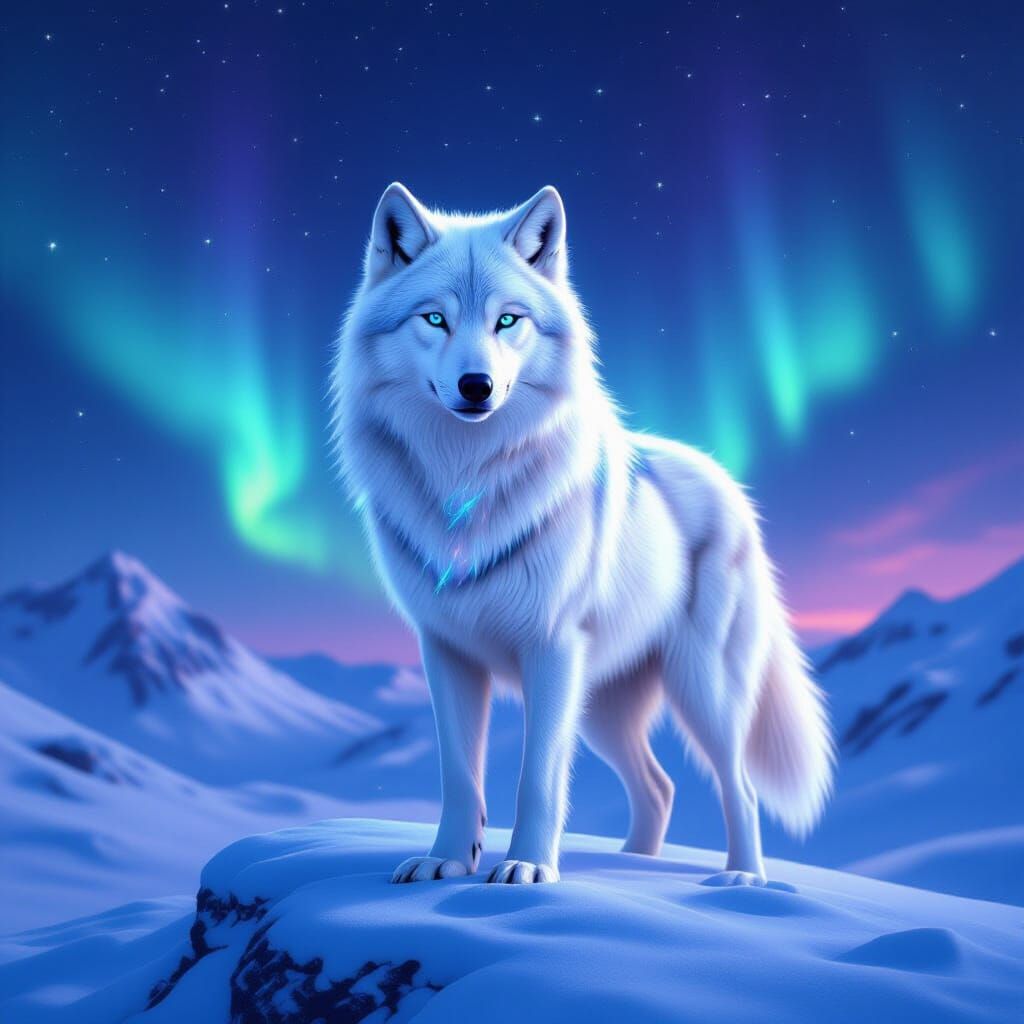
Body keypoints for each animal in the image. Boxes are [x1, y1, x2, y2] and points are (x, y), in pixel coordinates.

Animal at [330, 183, 834, 886]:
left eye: (507, 321)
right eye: (434, 320)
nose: (477, 386)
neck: (467, 480)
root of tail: (729, 486)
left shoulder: (551, 648)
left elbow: (537, 778)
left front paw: (527, 869)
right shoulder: (446, 653)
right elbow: (460, 776)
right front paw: (446, 861)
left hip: (699, 689)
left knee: (740, 786)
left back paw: (742, 879)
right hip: (603, 710)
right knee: (660, 787)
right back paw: (632, 865)